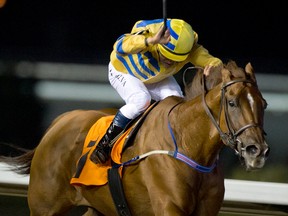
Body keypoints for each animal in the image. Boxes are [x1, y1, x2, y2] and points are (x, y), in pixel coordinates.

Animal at [0, 60, 270, 216]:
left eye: (264, 104)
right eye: (232, 102)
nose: (256, 150)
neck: (189, 145)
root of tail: (59, 122)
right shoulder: (169, 207)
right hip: (44, 207)